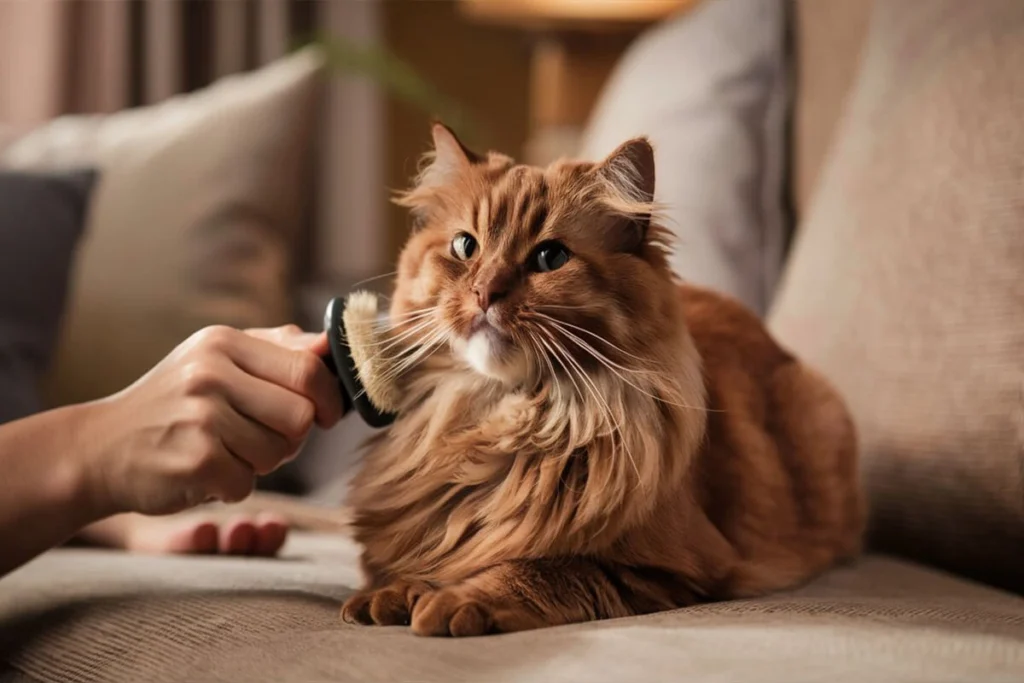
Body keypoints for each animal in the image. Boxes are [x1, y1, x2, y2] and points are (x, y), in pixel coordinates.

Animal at [339, 124, 860, 643]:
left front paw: (455, 600)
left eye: (550, 256)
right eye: (465, 247)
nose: (486, 292)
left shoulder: (662, 571)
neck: (503, 423)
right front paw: (395, 592)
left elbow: (536, 569)